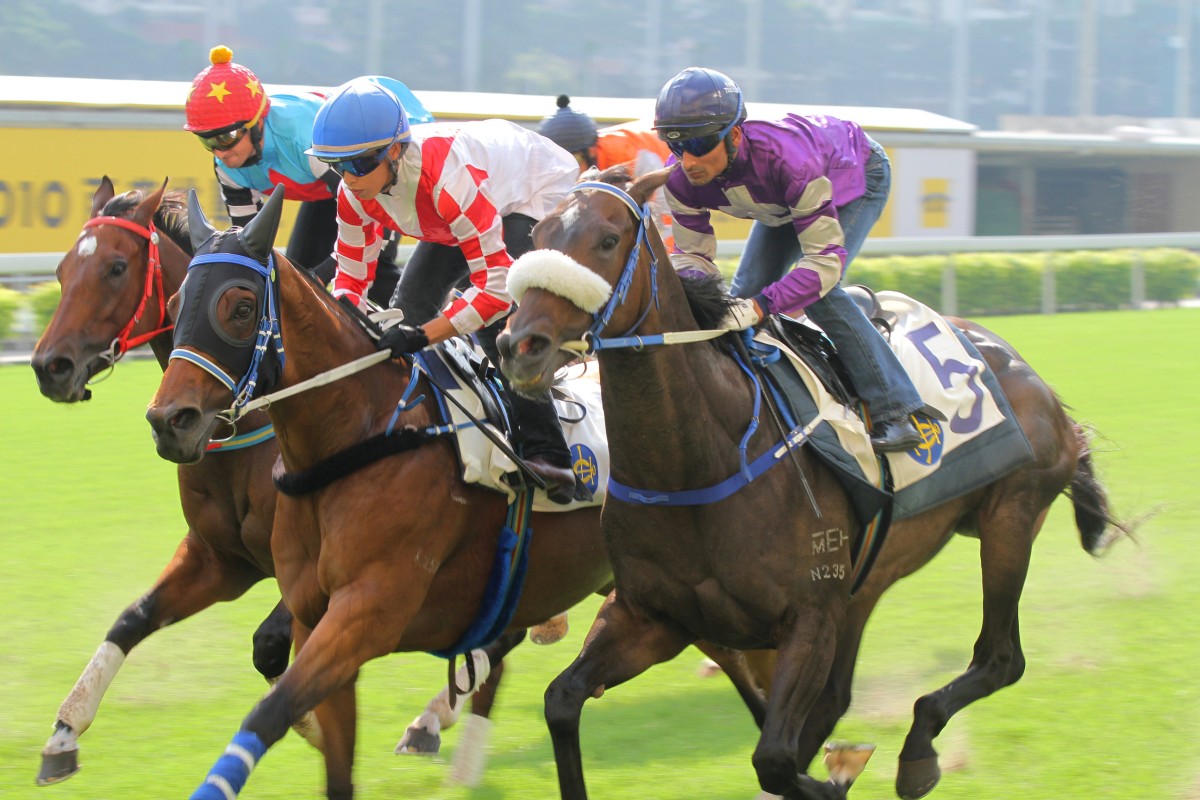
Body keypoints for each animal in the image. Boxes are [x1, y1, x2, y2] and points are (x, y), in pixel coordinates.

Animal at [142, 189, 768, 800]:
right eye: (174, 305)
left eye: (241, 306)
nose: (170, 421)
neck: (358, 441)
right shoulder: (310, 617)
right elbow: (335, 766)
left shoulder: (368, 612)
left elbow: (268, 713)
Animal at [494, 165, 1123, 796]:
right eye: (536, 234)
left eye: (606, 239)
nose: (518, 346)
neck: (698, 461)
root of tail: (1031, 377)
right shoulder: (652, 616)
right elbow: (562, 700)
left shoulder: (811, 613)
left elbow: (774, 758)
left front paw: (838, 773)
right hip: (869, 579)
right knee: (842, 695)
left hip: (1010, 517)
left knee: (1000, 658)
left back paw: (918, 751)